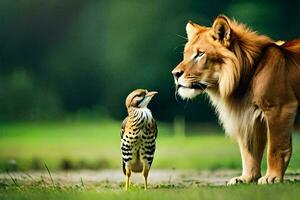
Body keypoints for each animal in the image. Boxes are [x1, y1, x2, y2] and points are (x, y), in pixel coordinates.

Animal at [171, 15, 300, 184]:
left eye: (200, 54)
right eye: (185, 54)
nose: (175, 74)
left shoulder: (280, 107)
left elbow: (275, 147)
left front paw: (271, 177)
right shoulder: (247, 116)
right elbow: (249, 151)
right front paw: (246, 178)